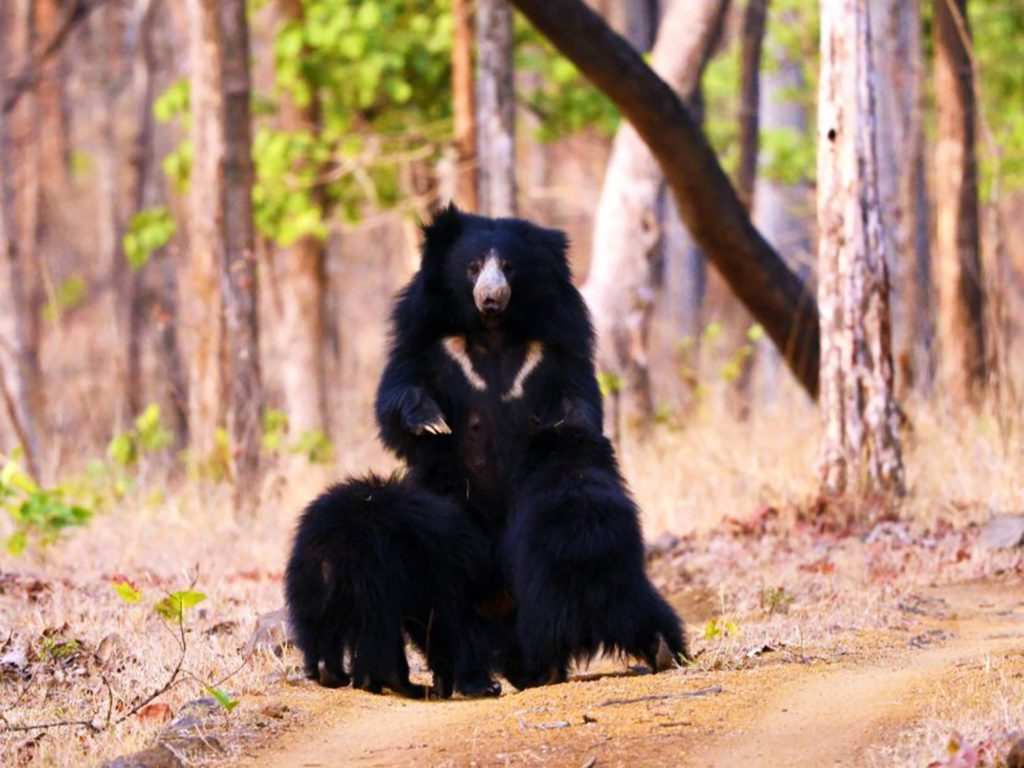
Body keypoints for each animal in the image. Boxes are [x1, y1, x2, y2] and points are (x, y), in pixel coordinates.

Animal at [284, 473, 499, 700]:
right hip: (373, 572)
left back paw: (332, 674)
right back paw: (399, 683)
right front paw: (479, 685)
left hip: (311, 581)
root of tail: (332, 545)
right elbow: (444, 622)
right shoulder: (439, 571)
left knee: (320, 624)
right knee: (381, 628)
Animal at [374, 201, 598, 532]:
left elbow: (576, 391)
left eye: (508, 266)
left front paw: (570, 426)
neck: (492, 329)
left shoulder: (558, 337)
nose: (491, 297)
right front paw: (431, 421)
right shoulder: (423, 333)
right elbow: (400, 388)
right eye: (474, 267)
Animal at [501, 421, 688, 692]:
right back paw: (666, 653)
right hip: (629, 587)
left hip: (548, 599)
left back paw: (538, 675)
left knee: (538, 637)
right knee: (656, 616)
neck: (569, 461)